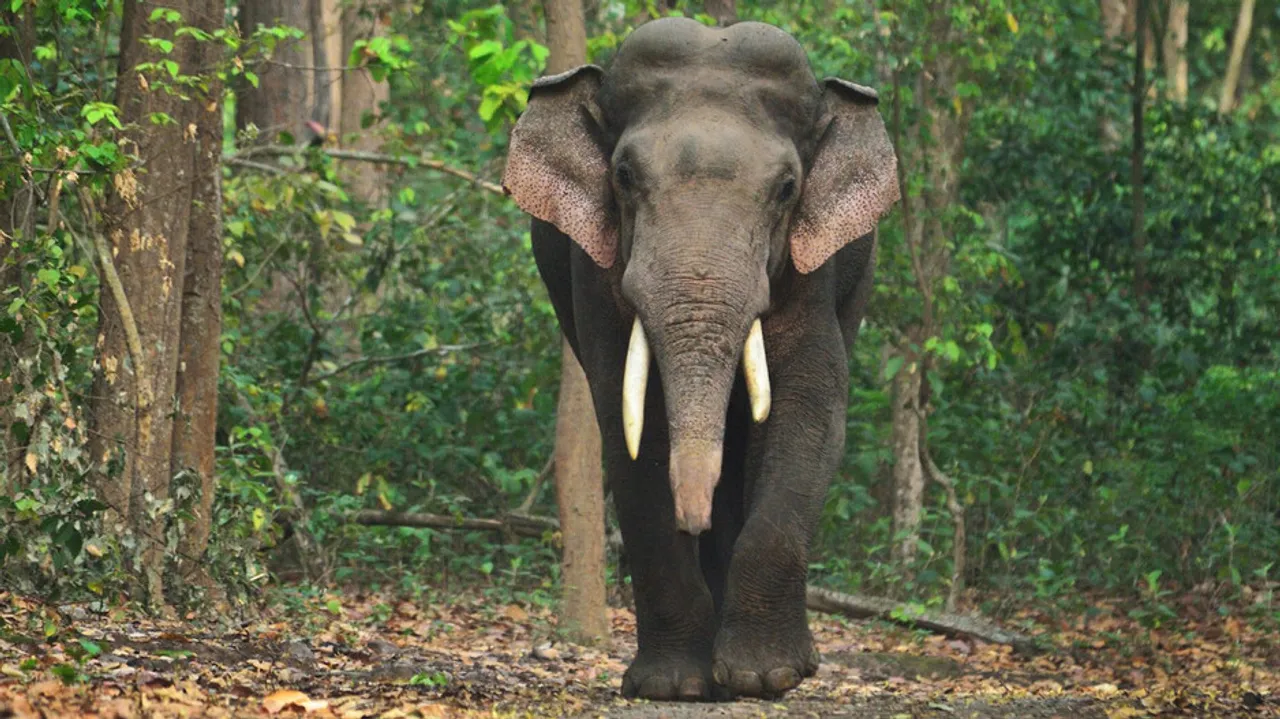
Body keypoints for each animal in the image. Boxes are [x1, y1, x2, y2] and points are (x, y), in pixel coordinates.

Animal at [501, 17, 899, 702]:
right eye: (623, 175)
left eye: (788, 188)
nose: (695, 518)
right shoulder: (593, 272)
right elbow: (628, 424)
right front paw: (674, 686)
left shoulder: (811, 273)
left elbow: (811, 408)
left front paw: (767, 677)